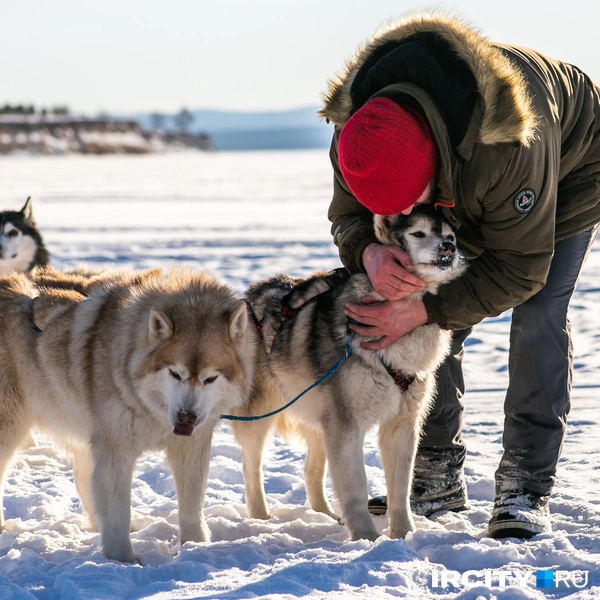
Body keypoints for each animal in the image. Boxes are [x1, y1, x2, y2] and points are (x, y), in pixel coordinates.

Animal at [0, 268, 255, 564]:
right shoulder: (115, 450)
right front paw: (123, 561)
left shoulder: (191, 447)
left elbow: (192, 506)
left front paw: (195, 549)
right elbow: (118, 512)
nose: (186, 417)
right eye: (175, 373)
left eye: (210, 378)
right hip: (11, 430)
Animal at [236, 205, 468, 540]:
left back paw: (325, 514)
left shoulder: (402, 425)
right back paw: (261, 517)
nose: (448, 248)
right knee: (251, 467)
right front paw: (368, 539)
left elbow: (400, 489)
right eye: (418, 233)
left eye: (450, 236)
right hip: (262, 413)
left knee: (311, 471)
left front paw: (403, 535)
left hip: (318, 418)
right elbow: (356, 488)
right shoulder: (346, 426)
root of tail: (252, 293)